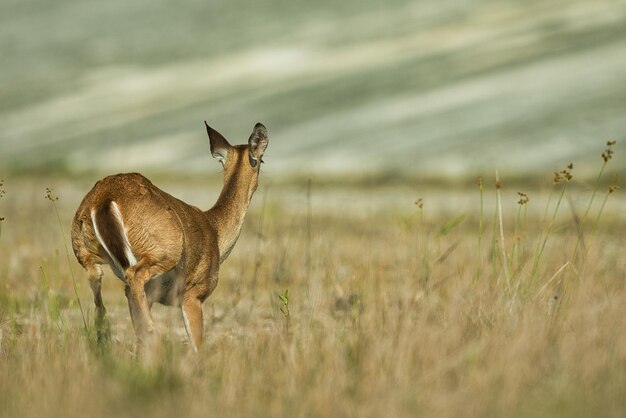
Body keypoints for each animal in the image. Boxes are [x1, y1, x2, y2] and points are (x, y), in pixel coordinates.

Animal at [69, 121, 266, 352]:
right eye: (262, 159)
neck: (215, 230)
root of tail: (103, 201)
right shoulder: (193, 293)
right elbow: (198, 345)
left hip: (85, 253)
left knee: (100, 295)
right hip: (163, 252)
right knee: (135, 284)